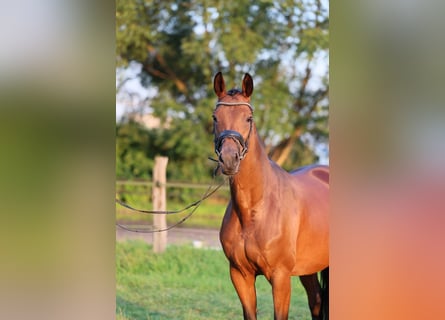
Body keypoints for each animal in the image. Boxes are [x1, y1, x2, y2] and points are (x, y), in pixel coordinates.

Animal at [213, 72, 328, 320]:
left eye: (249, 118)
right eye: (215, 118)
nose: (229, 159)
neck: (255, 209)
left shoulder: (281, 277)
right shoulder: (240, 275)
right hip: (310, 267)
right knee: (316, 302)